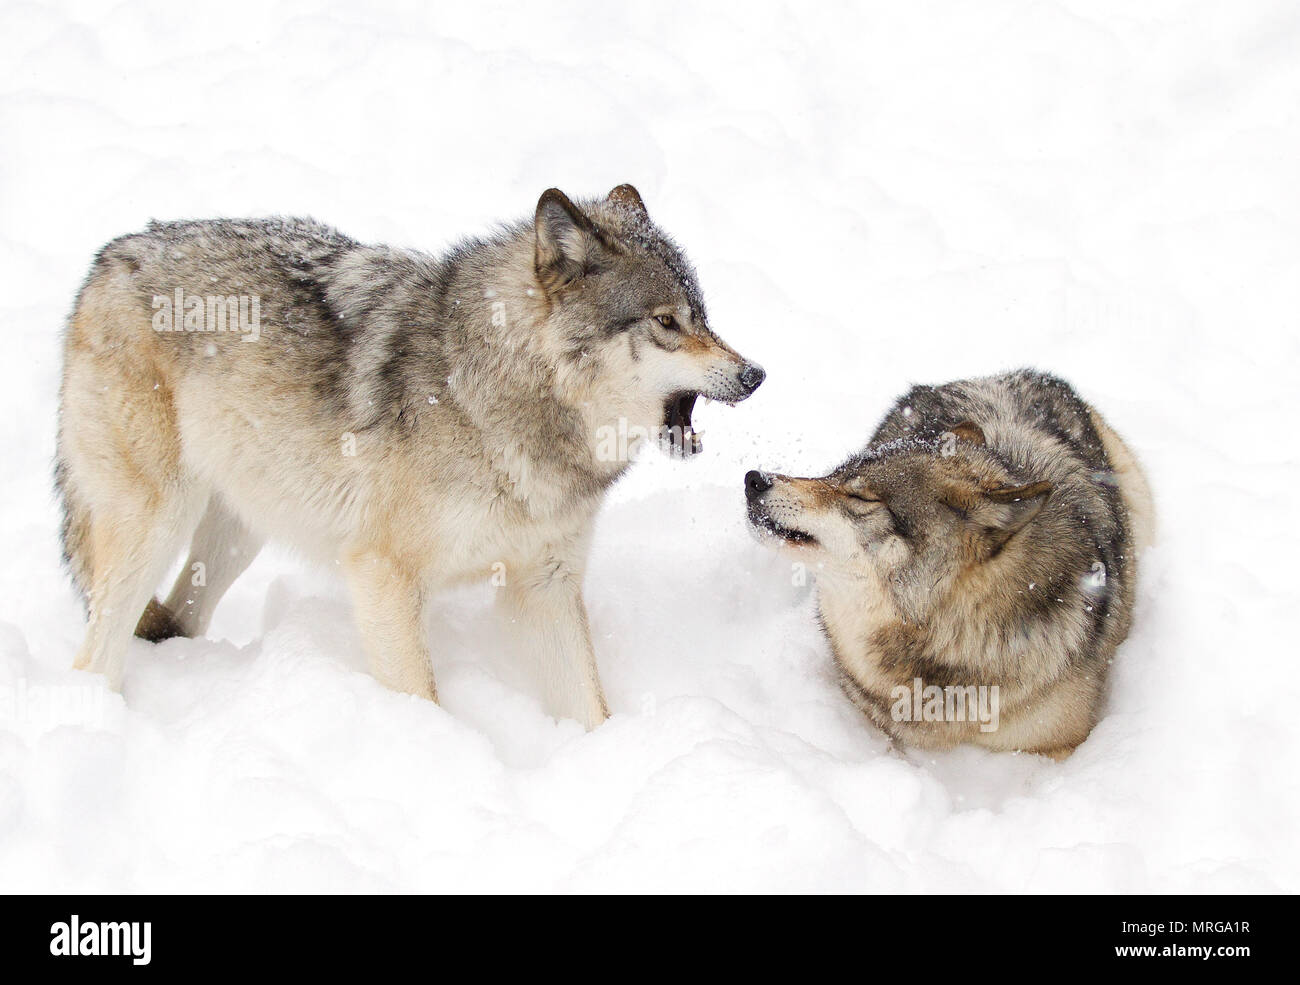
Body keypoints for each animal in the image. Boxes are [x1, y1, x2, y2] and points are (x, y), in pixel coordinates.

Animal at [56, 185, 764, 727]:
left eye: (704, 316)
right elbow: (422, 698)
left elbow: (591, 708)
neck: (492, 399)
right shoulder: (384, 576)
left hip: (240, 533)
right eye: (666, 323)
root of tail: (109, 257)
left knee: (177, 619)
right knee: (94, 654)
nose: (756, 374)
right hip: (158, 523)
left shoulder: (545, 585)